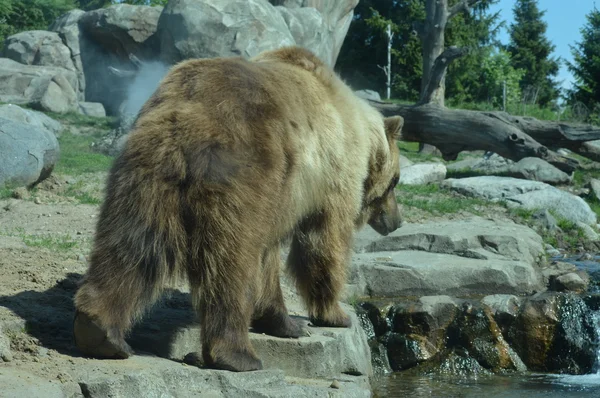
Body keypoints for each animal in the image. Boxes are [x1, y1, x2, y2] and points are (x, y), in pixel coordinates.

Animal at [74, 46, 404, 374]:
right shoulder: (330, 179)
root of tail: (188, 111)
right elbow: (323, 243)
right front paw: (334, 315)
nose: (397, 221)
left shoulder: (282, 196)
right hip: (242, 171)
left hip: (146, 175)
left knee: (131, 246)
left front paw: (285, 323)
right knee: (231, 262)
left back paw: (101, 333)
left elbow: (269, 259)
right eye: (396, 180)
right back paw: (238, 355)